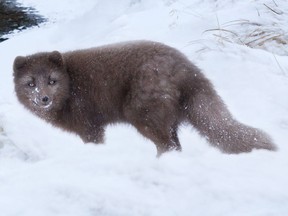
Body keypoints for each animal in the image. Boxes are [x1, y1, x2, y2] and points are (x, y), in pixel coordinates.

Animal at [13, 40, 276, 155]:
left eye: (52, 81)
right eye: (31, 83)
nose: (43, 99)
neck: (71, 86)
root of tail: (188, 68)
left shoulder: (89, 127)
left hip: (142, 114)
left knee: (167, 145)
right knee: (174, 145)